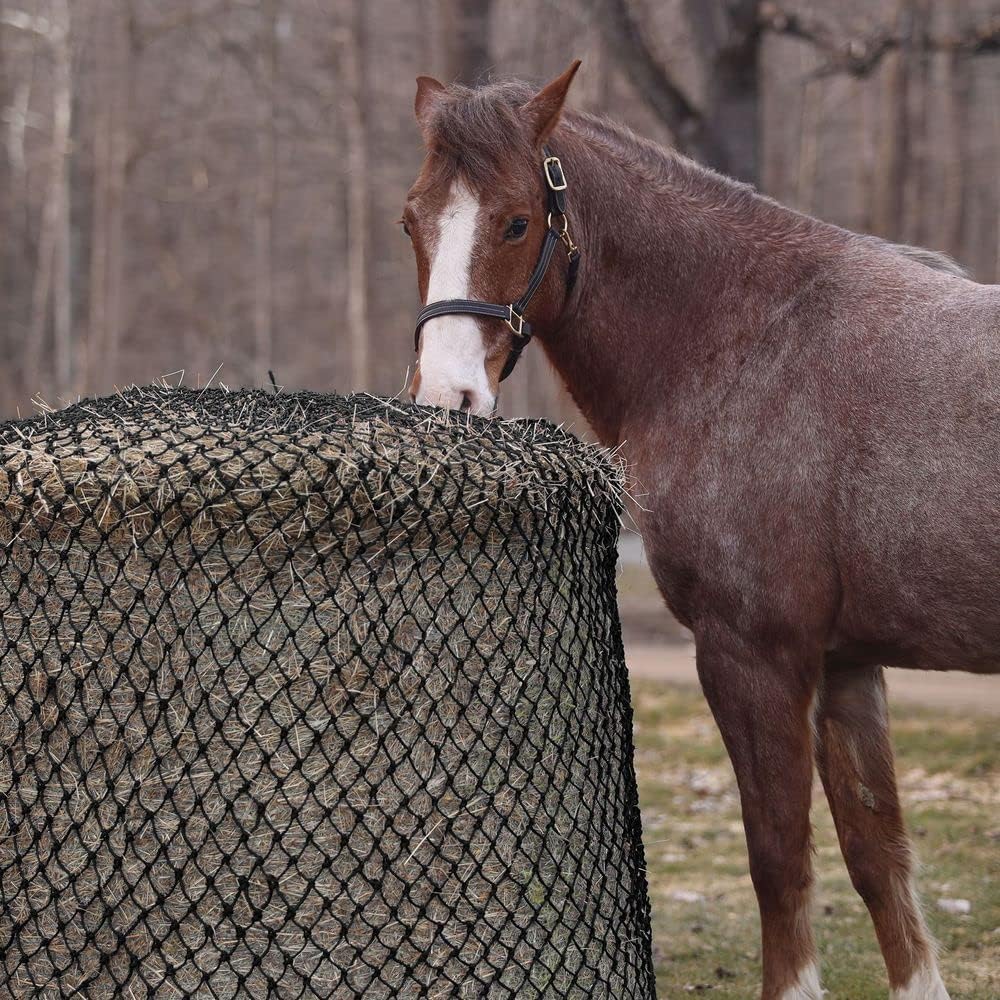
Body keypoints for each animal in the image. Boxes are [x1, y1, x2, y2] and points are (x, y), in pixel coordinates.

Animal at [401, 62, 999, 1000]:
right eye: (412, 220)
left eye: (517, 220)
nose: (446, 396)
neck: (747, 339)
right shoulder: (846, 665)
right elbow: (879, 860)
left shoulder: (753, 655)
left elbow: (780, 861)